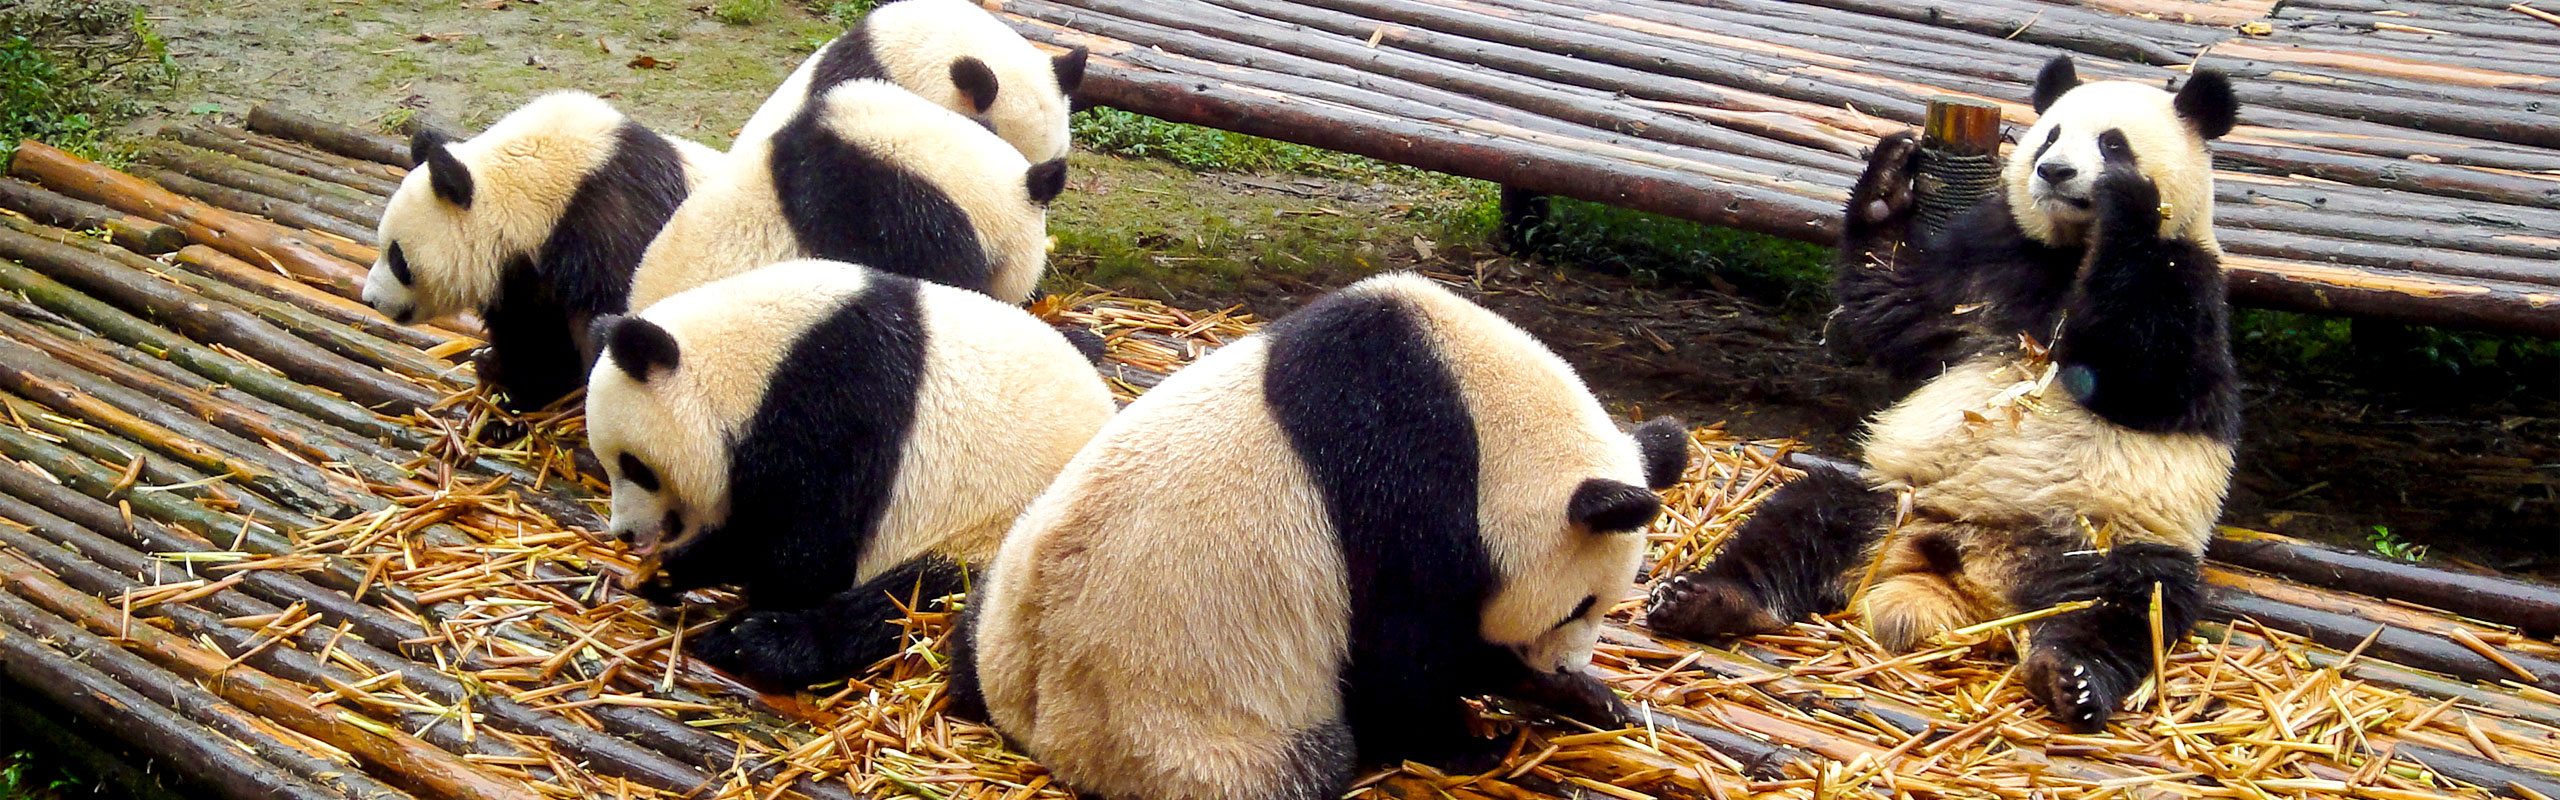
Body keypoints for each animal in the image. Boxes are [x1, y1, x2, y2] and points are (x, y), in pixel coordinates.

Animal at [584, 259, 1115, 688]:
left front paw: (718, 590)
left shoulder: (838, 400)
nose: (624, 533)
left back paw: (760, 643)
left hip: (997, 529)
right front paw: (665, 573)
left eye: (635, 466)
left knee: (907, 601)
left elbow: (806, 549)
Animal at [945, 273, 1691, 800]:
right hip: (1178, 731)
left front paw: (1589, 699)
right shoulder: (1408, 494)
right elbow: (1405, 653)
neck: (1486, 420)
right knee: (1303, 766)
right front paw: (1474, 745)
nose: (1563, 665)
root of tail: (1033, 722)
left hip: (1009, 598)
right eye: (1578, 606)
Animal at [1644, 55, 2241, 733]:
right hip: (1896, 502)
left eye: (2113, 143)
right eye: (2051, 135)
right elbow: (1895, 304)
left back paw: (2071, 677)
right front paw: (1889, 178)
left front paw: (2128, 200)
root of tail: (1967, 576)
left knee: (2134, 602)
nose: (2054, 171)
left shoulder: (2193, 284)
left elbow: (2147, 374)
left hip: (2103, 541)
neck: (2069, 250)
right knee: (1801, 517)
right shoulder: (1991, 257)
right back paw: (1706, 599)